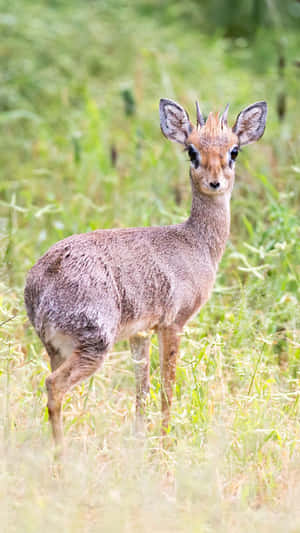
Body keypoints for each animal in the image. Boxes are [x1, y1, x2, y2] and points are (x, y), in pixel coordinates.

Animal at [24, 96, 268, 448]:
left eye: (234, 151)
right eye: (191, 151)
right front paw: (165, 445)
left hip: (56, 347)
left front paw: (140, 440)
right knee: (53, 385)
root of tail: (42, 279)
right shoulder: (173, 323)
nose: (214, 182)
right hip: (94, 344)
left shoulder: (140, 333)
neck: (195, 242)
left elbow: (142, 387)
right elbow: (167, 386)